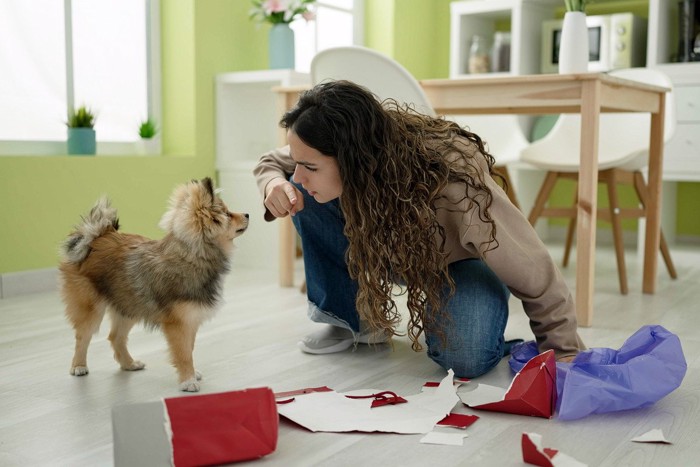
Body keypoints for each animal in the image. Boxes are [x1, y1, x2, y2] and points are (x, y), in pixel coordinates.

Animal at [59, 177, 249, 394]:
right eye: (227, 214)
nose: (247, 214)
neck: (193, 254)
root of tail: (94, 238)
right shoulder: (178, 324)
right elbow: (184, 353)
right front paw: (188, 380)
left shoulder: (190, 319)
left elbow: (189, 348)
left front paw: (192, 374)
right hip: (91, 308)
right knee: (82, 337)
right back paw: (78, 366)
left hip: (128, 304)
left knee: (116, 337)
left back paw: (129, 364)